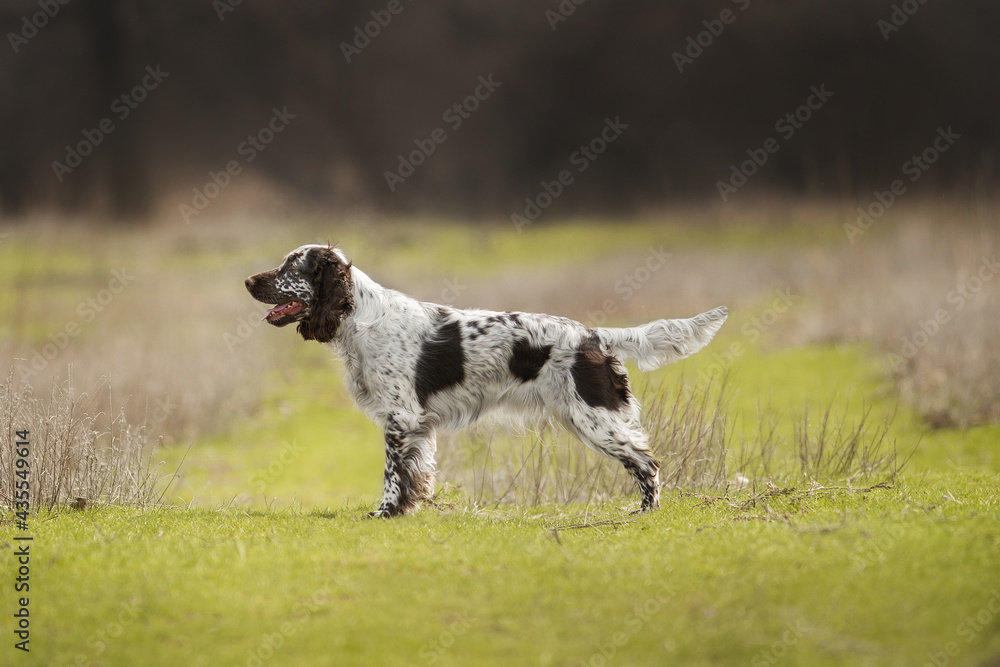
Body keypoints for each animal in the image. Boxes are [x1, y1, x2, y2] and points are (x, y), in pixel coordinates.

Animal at [244, 245, 728, 516]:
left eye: (292, 267)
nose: (248, 280)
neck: (360, 318)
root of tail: (594, 336)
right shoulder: (418, 426)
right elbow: (417, 475)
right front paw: (406, 511)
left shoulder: (400, 418)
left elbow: (393, 474)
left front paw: (383, 513)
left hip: (595, 419)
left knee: (648, 463)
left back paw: (645, 514)